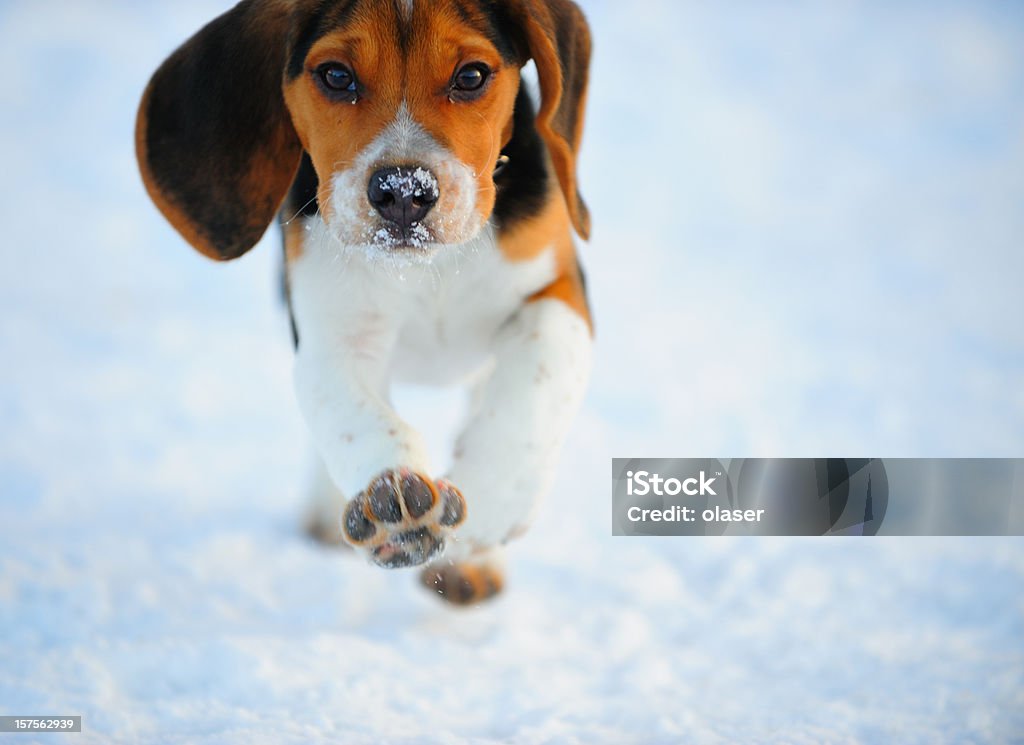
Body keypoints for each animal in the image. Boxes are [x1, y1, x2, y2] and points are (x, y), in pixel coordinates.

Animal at [140, 0, 598, 605]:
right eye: (336, 77)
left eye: (472, 76)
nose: (404, 190)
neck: (425, 270)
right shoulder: (331, 337)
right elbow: (351, 412)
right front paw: (396, 501)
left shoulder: (557, 287)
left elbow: (538, 376)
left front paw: (496, 496)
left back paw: (472, 562)